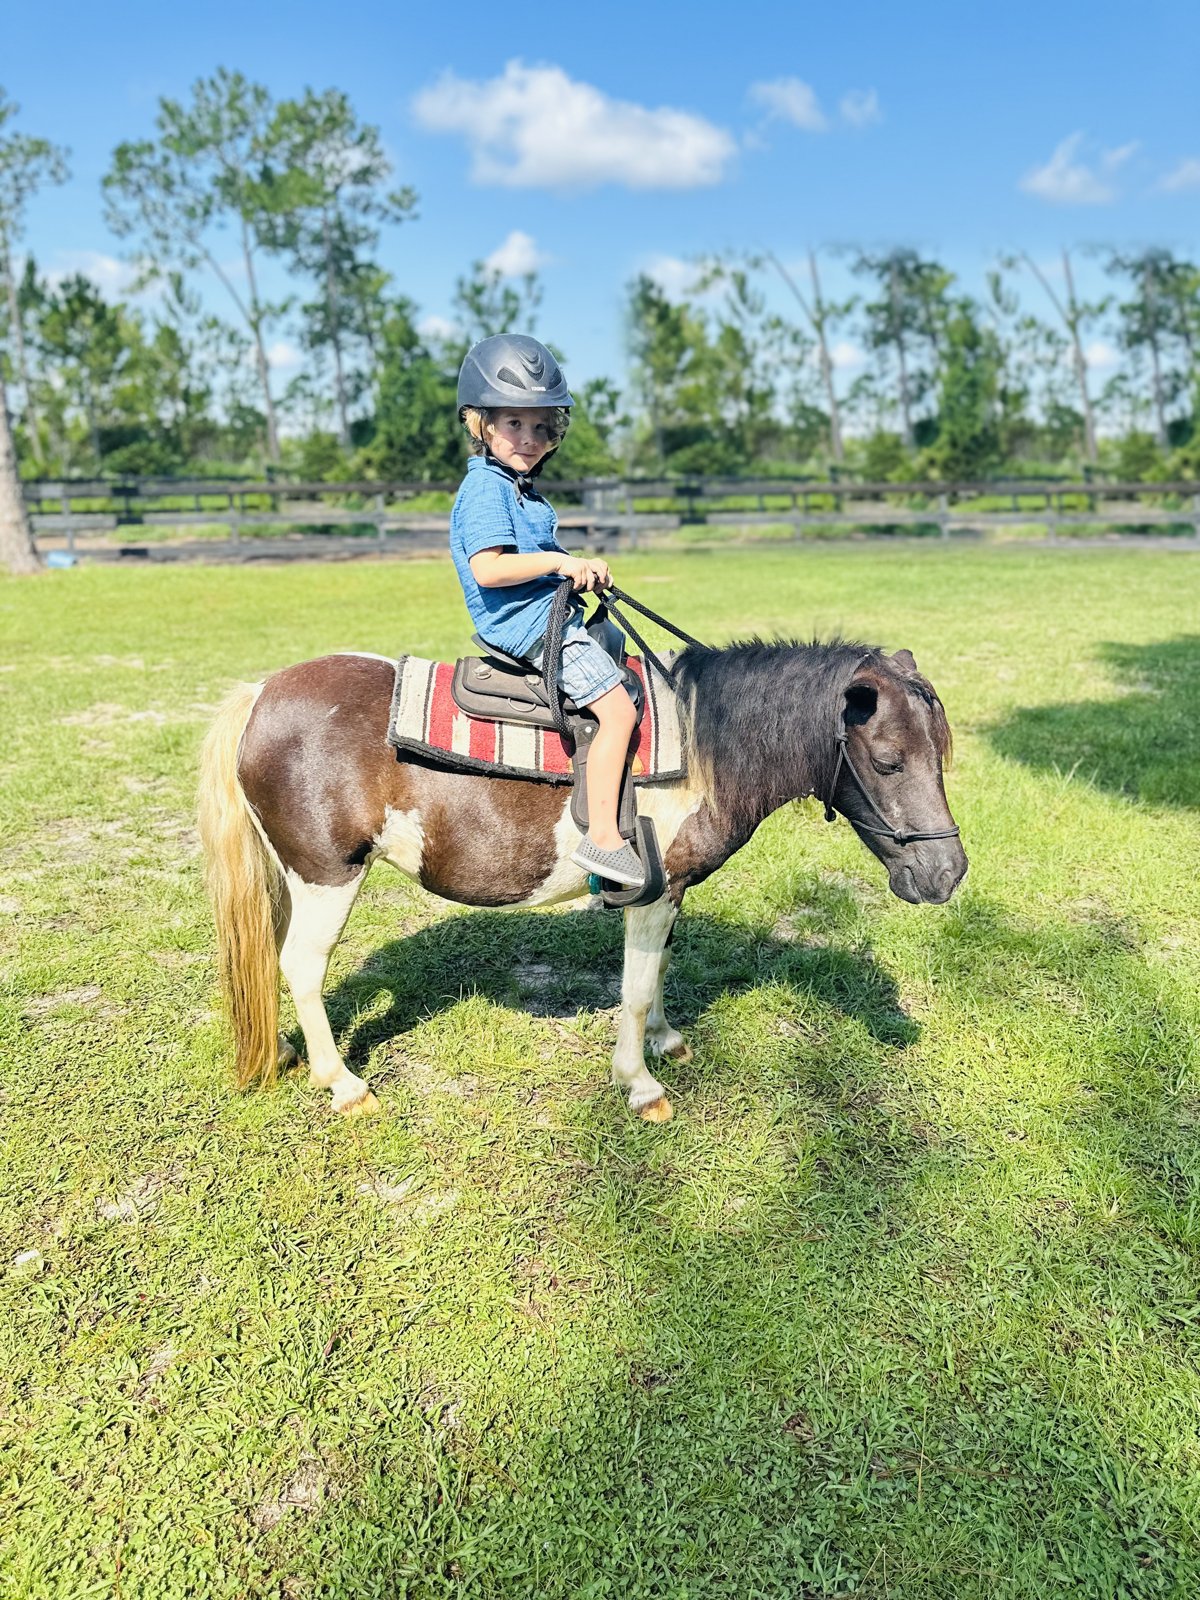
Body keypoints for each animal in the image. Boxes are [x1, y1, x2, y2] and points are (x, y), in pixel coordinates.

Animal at [197, 638, 967, 1123]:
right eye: (890, 761)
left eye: (942, 752)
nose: (948, 873)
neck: (701, 745)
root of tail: (261, 694)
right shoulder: (653, 892)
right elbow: (632, 989)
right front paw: (641, 1085)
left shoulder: (671, 896)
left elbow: (657, 974)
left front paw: (666, 1040)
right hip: (327, 875)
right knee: (301, 966)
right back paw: (343, 1085)